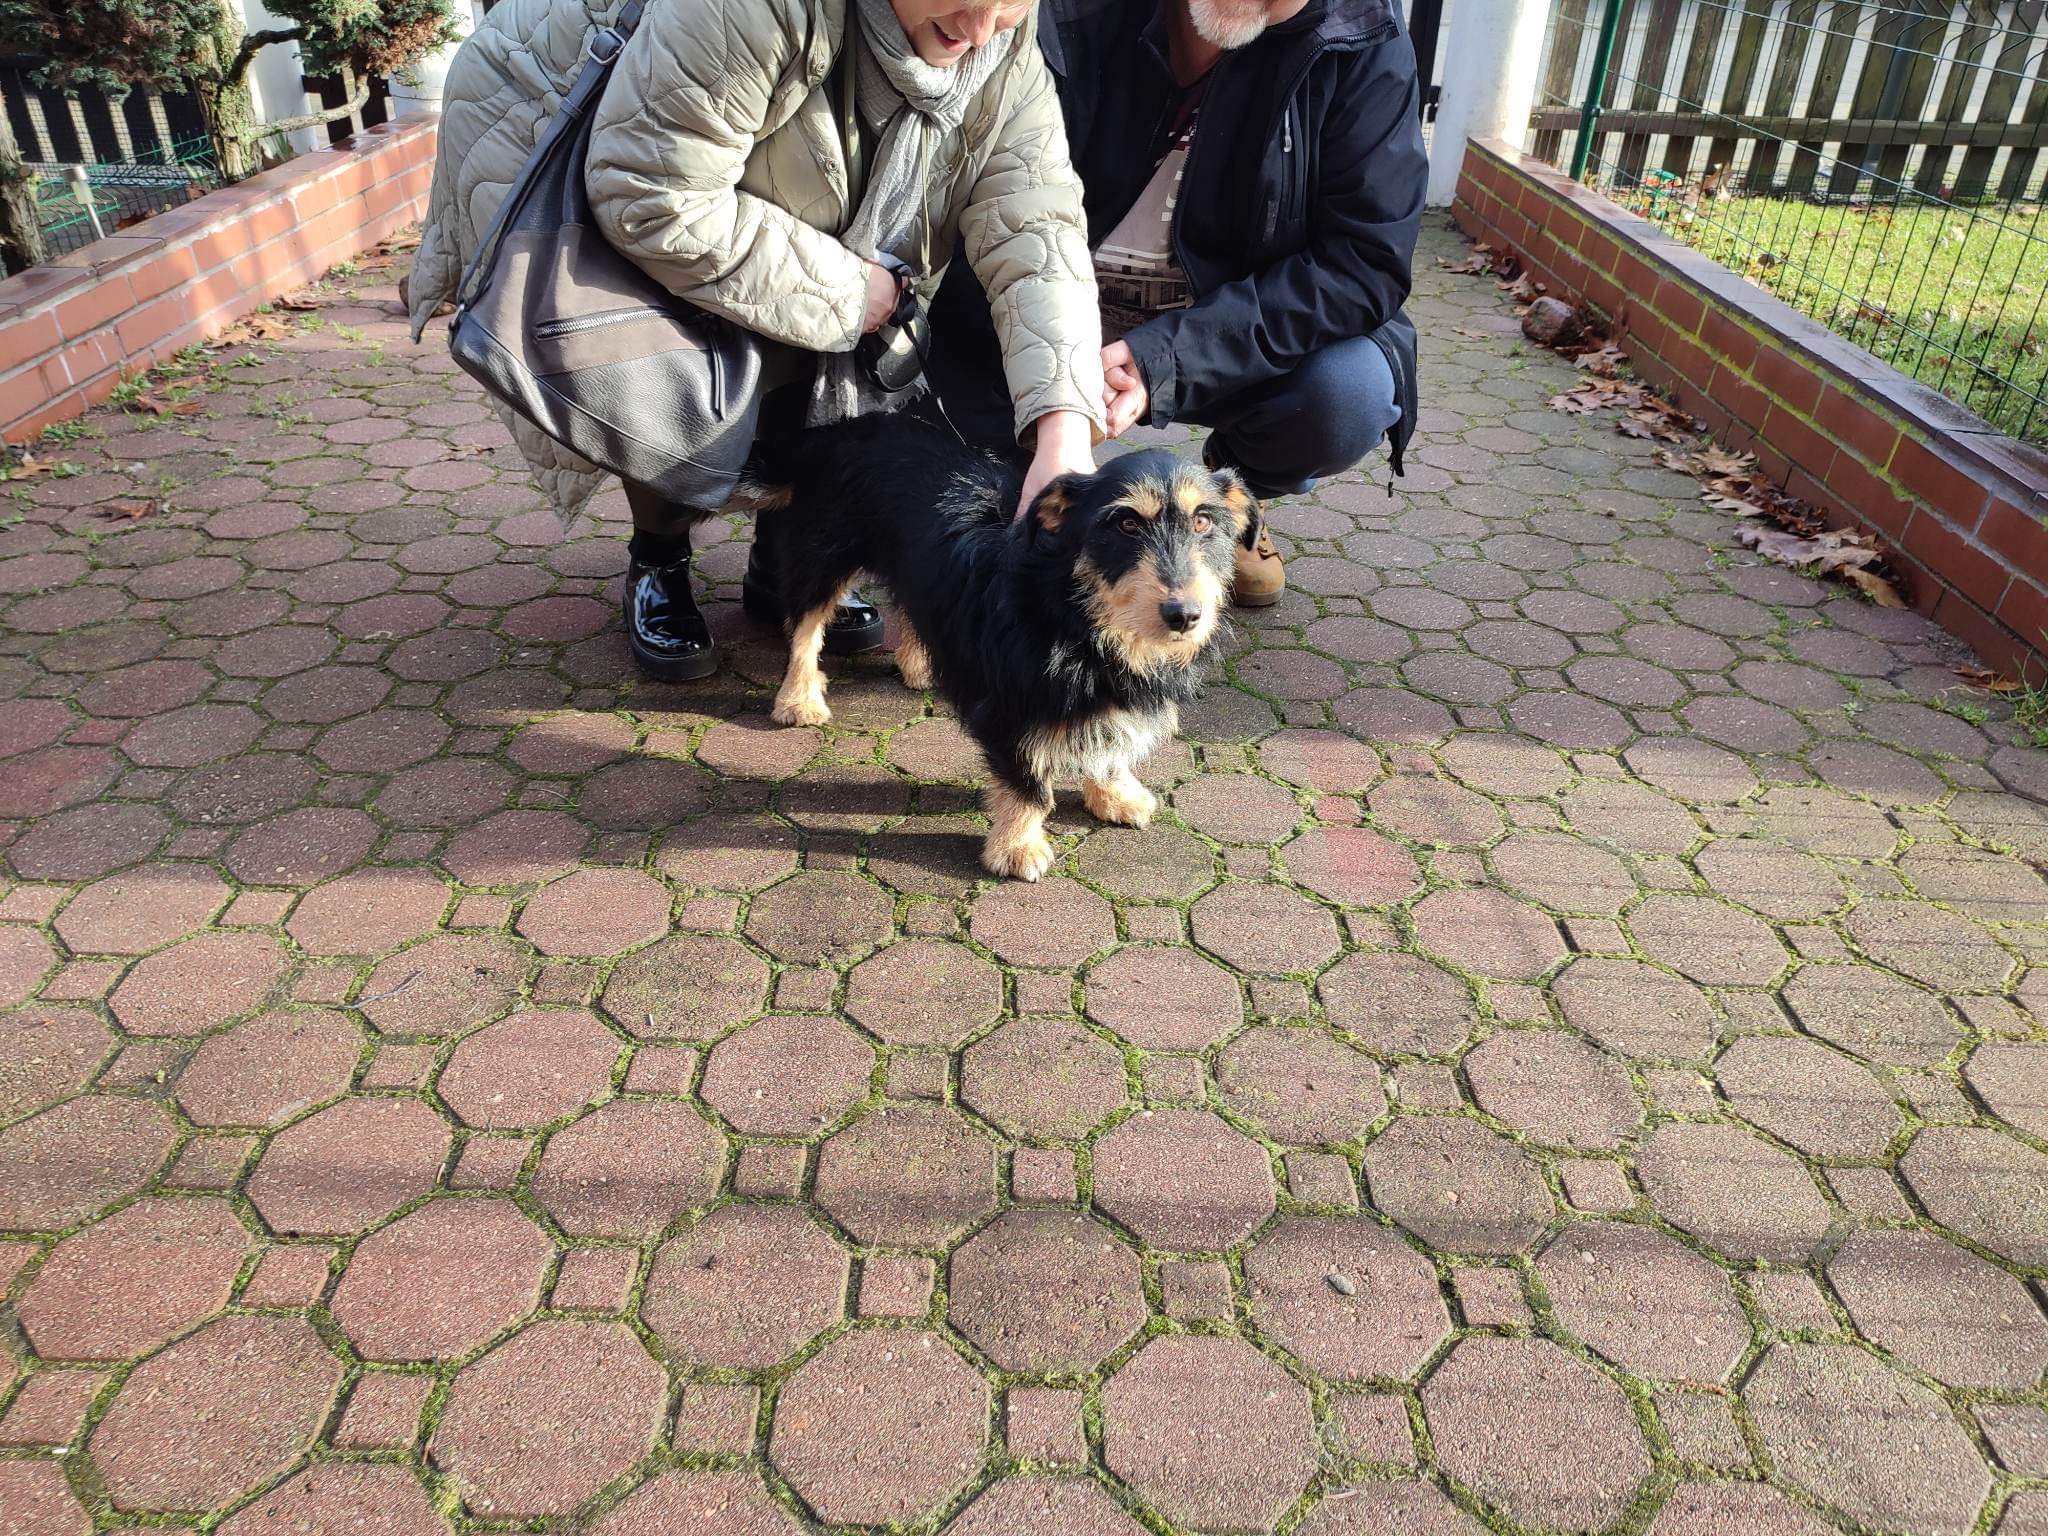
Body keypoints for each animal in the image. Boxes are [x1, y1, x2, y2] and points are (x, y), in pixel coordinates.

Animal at [740, 412, 1260, 880]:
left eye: (1203, 521)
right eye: (1127, 525)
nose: (1184, 616)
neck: (1074, 613)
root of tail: (837, 429)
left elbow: (1110, 740)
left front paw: (1113, 793)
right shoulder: (1010, 707)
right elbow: (1028, 785)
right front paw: (1017, 847)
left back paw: (920, 664)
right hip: (821, 555)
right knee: (804, 626)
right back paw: (799, 697)